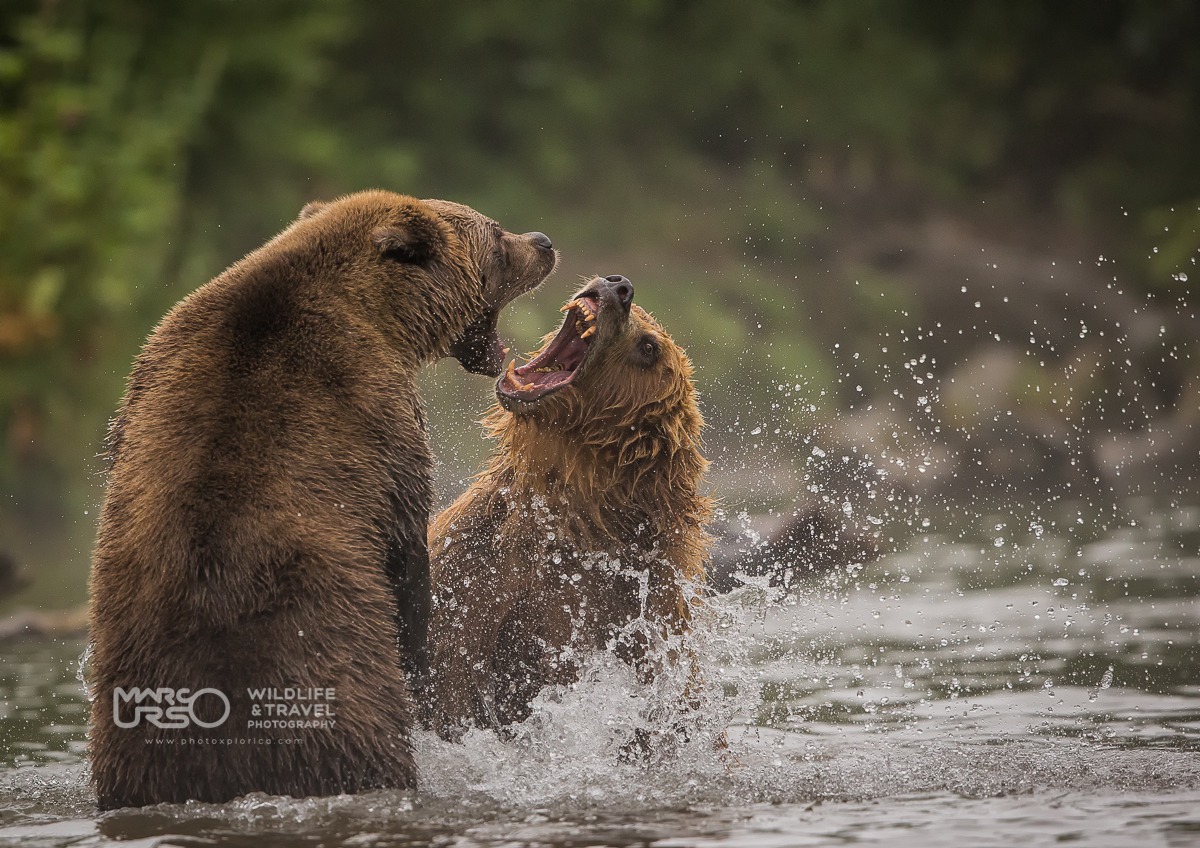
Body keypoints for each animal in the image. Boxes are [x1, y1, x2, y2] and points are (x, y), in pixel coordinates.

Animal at [87, 190, 556, 810]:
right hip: (334, 685)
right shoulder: (379, 421)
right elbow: (405, 550)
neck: (381, 317)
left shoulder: (147, 375)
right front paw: (422, 665)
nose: (543, 243)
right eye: (498, 237)